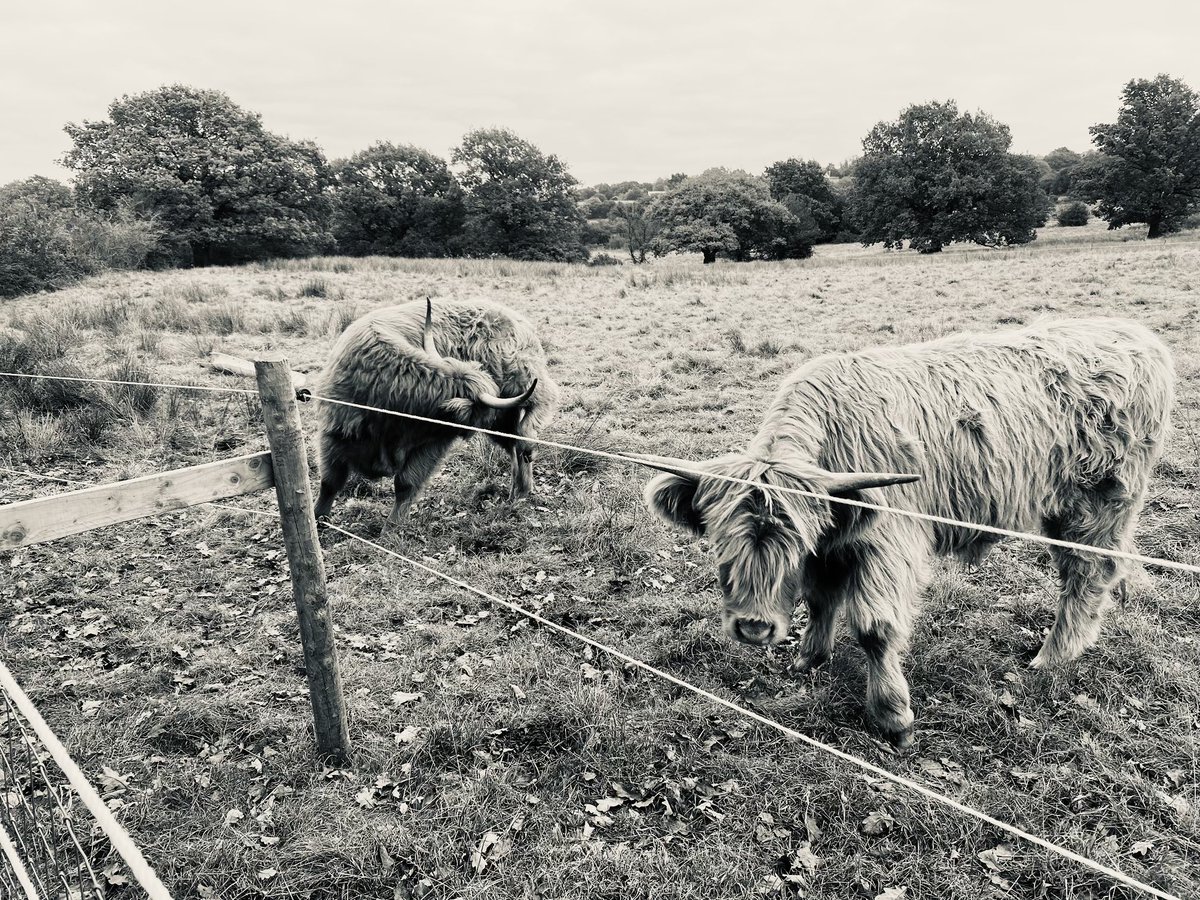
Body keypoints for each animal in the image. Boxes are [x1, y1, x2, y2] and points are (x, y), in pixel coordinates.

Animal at [314, 298, 559, 531]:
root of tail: (516, 318)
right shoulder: (333, 434)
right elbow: (330, 482)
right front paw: (317, 519)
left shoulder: (434, 443)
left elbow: (405, 483)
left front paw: (391, 529)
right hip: (505, 413)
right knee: (514, 443)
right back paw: (519, 493)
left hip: (518, 376)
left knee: (541, 400)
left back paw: (528, 445)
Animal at [639, 318, 1173, 747]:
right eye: (719, 543)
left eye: (791, 549)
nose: (753, 628)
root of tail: (1135, 334)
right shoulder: (831, 542)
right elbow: (819, 599)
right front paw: (809, 658)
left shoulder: (886, 544)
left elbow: (875, 629)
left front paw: (894, 718)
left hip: (1098, 502)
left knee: (1088, 572)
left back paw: (1052, 657)